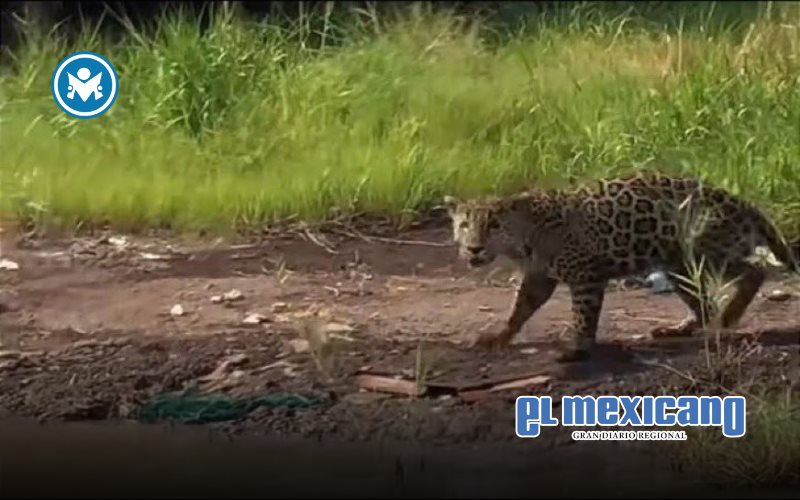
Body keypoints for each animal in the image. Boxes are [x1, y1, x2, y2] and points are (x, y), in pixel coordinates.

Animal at [443, 171, 797, 363]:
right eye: (464, 225)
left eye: (493, 226)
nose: (473, 247)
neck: (524, 238)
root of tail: (739, 200)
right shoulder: (538, 277)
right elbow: (520, 308)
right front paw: (500, 336)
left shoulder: (586, 275)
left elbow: (582, 315)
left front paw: (578, 348)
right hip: (680, 265)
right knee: (703, 304)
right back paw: (680, 329)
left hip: (704, 251)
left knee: (754, 271)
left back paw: (729, 315)